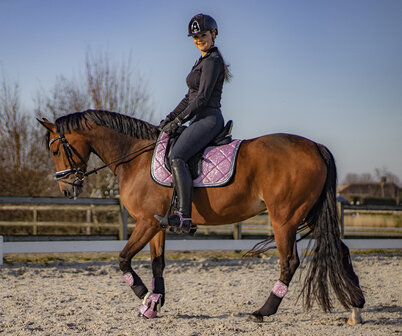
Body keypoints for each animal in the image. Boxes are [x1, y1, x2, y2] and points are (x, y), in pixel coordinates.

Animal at [39, 109, 366, 322]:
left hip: (284, 218)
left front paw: (144, 296)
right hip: (309, 214)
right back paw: (356, 305)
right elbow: (157, 264)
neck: (135, 158)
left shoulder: (145, 222)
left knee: (290, 262)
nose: (67, 189)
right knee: (340, 250)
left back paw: (263, 312)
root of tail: (315, 146)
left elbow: (123, 259)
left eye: (55, 150)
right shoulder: (156, 225)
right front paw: (154, 304)